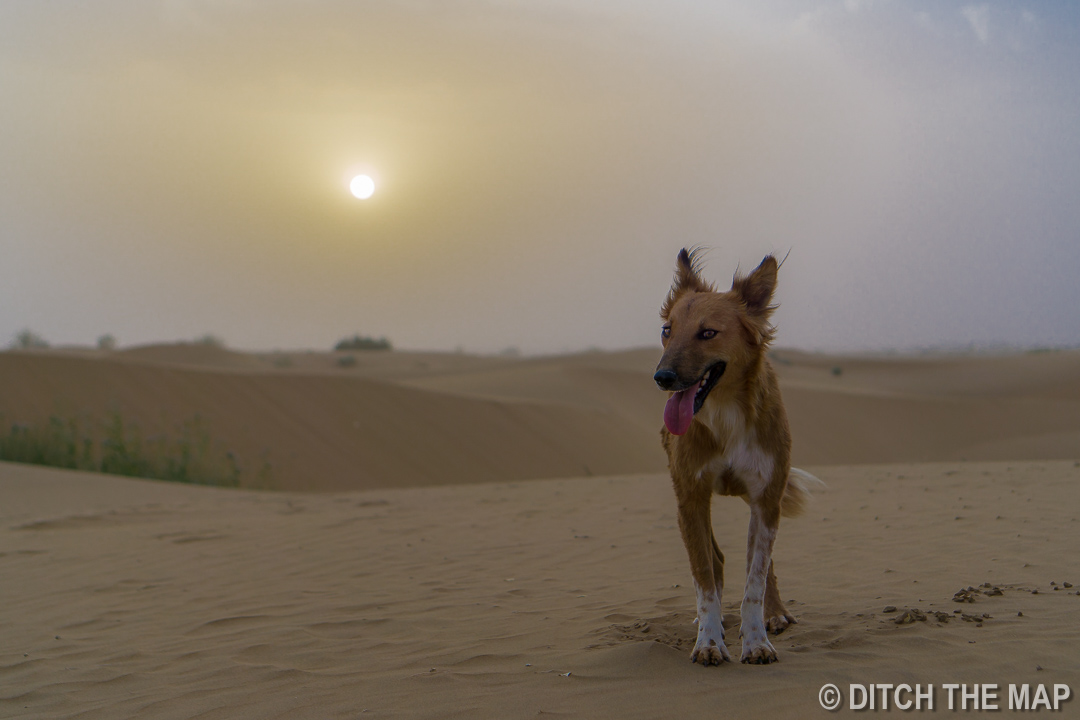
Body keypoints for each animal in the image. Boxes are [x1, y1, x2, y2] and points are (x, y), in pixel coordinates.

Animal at [648, 248, 816, 664]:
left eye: (708, 333)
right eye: (667, 330)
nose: (662, 377)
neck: (724, 416)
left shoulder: (766, 498)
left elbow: (755, 579)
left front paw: (756, 640)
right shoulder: (691, 499)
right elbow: (704, 579)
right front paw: (709, 640)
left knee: (765, 566)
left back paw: (775, 613)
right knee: (717, 560)